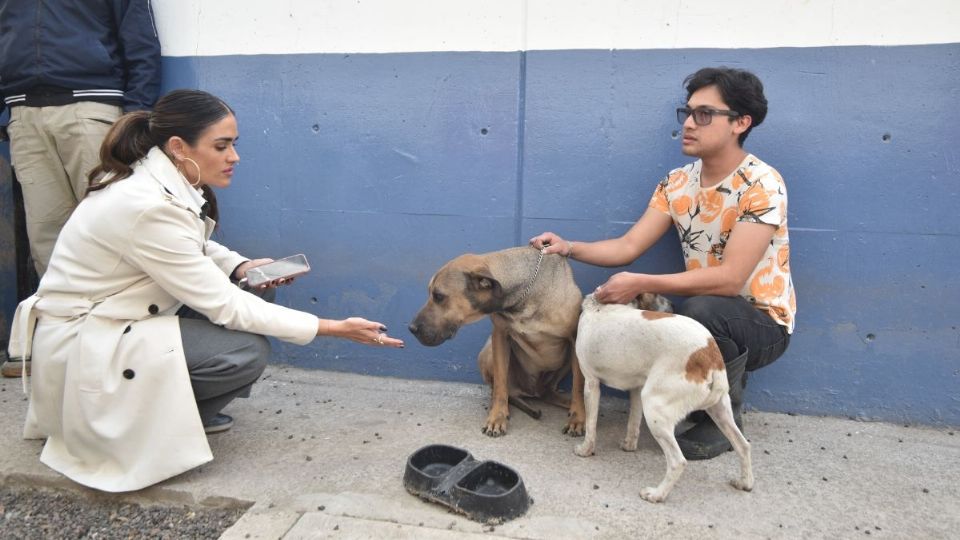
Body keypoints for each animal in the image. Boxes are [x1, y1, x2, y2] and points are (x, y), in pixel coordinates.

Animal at [406, 247, 584, 436]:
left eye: (439, 296)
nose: (411, 328)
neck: (523, 299)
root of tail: (531, 390)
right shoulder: (499, 336)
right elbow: (499, 384)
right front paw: (497, 416)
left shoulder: (575, 340)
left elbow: (578, 387)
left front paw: (578, 418)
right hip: (488, 351)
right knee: (501, 390)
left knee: (548, 391)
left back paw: (567, 403)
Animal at [572, 294, 752, 504]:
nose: (673, 304)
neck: (601, 306)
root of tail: (709, 355)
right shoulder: (636, 389)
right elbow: (633, 422)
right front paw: (629, 446)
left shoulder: (591, 384)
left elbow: (591, 426)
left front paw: (585, 450)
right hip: (719, 411)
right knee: (743, 445)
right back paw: (745, 483)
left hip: (655, 408)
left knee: (678, 462)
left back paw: (656, 494)